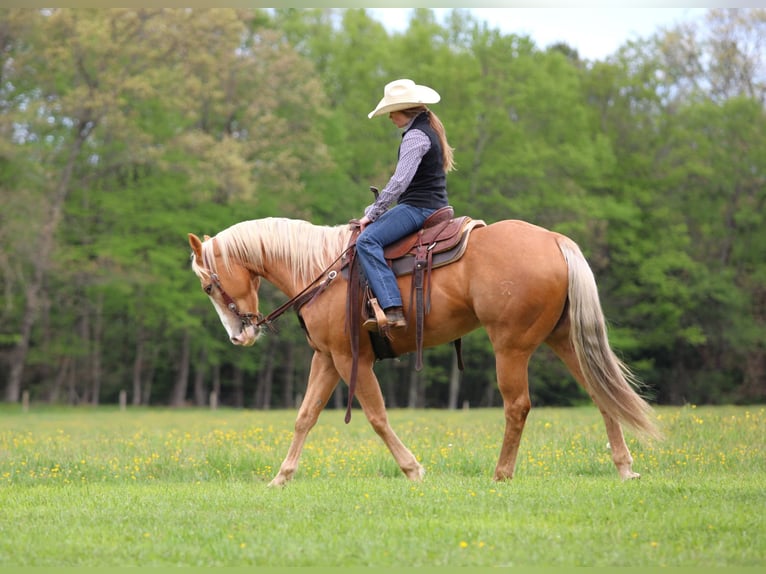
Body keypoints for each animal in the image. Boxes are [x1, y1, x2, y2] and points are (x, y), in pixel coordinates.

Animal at [188, 216, 661, 486]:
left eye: (208, 285)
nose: (240, 336)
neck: (322, 270)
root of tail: (554, 240)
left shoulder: (351, 359)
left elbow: (377, 417)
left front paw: (413, 470)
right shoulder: (327, 358)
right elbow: (304, 417)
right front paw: (281, 478)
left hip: (511, 346)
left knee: (518, 406)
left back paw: (501, 473)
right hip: (563, 339)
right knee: (602, 394)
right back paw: (624, 467)